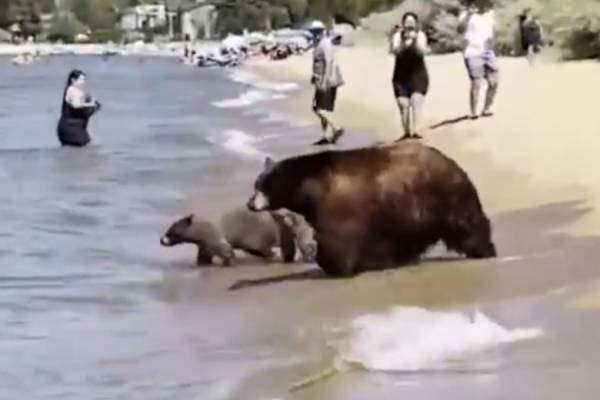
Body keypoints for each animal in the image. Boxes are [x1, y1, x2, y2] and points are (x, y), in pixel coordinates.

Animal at [246, 142, 494, 276]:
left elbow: (336, 239)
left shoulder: (337, 205)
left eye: (261, 186)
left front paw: (334, 267)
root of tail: (452, 163)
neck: (309, 185)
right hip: (409, 209)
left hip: (442, 196)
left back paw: (483, 249)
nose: (250, 203)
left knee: (466, 224)